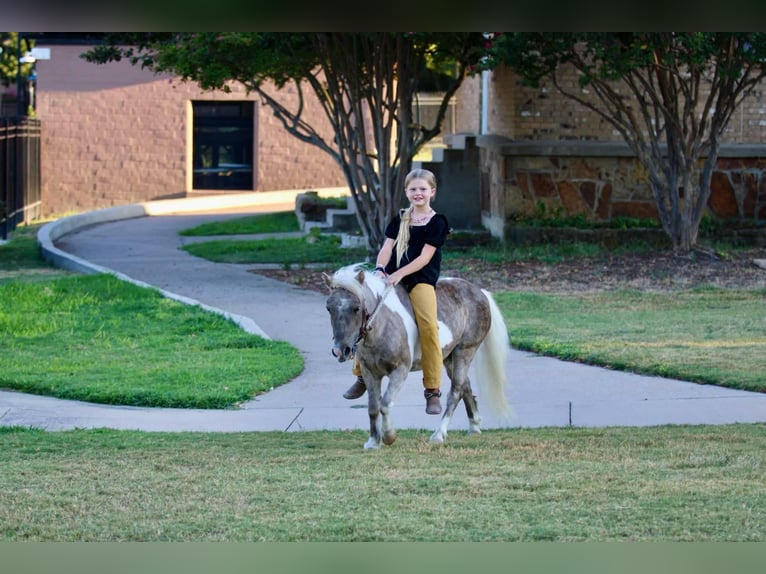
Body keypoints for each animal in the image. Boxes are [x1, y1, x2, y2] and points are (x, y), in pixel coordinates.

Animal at [326, 264, 512, 452]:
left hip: (465, 351)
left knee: (455, 392)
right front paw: (373, 442)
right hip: (449, 358)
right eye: (329, 308)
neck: (383, 324)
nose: (340, 350)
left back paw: (439, 435)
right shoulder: (369, 372)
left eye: (356, 308)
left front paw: (389, 436)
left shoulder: (400, 370)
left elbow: (385, 404)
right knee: (465, 386)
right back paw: (474, 426)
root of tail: (480, 292)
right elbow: (373, 407)